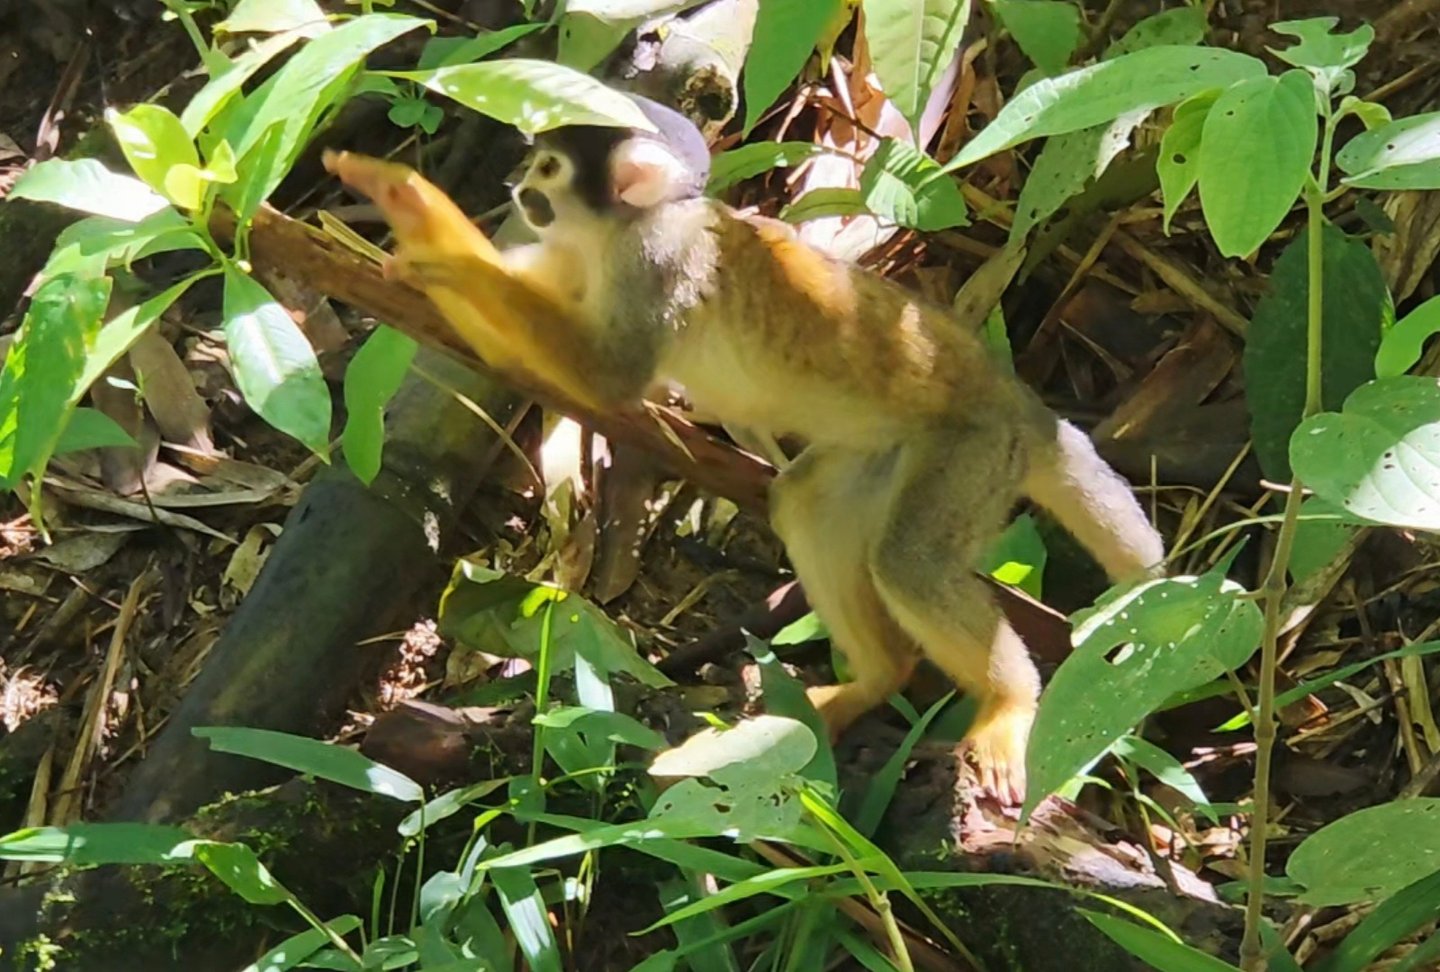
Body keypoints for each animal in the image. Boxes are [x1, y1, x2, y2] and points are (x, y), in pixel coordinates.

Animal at [322, 94, 1166, 804]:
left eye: (551, 169)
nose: (515, 182)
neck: (615, 232)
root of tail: (1019, 403)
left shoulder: (654, 263)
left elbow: (605, 379)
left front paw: (429, 235)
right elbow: (527, 349)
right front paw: (408, 236)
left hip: (971, 456)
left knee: (909, 562)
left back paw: (1008, 700)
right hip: (885, 453)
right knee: (809, 507)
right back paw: (875, 678)